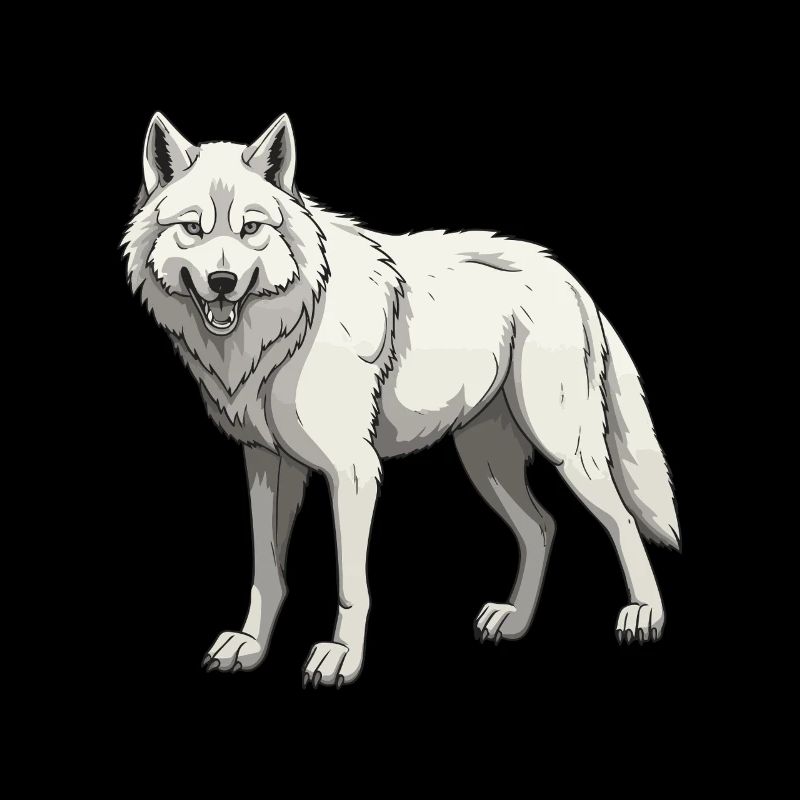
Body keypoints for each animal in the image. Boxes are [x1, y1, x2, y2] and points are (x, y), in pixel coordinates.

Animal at [123, 112, 680, 687]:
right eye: (193, 228)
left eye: (251, 229)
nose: (222, 281)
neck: (284, 334)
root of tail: (569, 278)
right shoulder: (264, 465)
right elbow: (267, 571)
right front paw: (250, 646)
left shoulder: (352, 471)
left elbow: (349, 584)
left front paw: (341, 656)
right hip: (485, 462)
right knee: (542, 526)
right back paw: (515, 621)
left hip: (565, 450)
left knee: (622, 521)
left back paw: (644, 615)